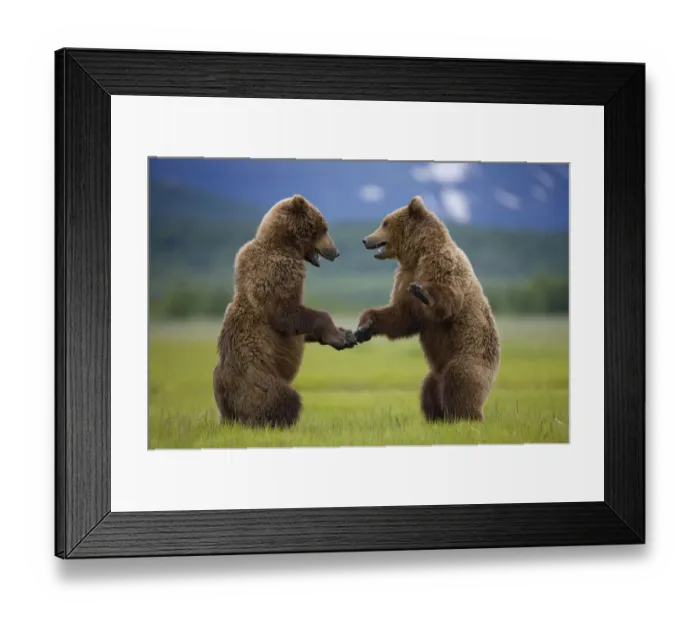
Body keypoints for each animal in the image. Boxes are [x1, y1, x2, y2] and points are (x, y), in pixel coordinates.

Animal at [214, 194, 357, 428]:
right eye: (323, 229)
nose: (336, 252)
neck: (284, 246)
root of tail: (230, 413)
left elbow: (299, 326)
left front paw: (344, 333)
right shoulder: (277, 273)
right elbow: (286, 314)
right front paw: (340, 336)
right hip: (258, 381)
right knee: (283, 398)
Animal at [356, 196, 500, 422]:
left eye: (385, 223)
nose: (365, 239)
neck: (418, 253)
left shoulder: (442, 264)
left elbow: (446, 301)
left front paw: (423, 293)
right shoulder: (405, 276)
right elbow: (402, 316)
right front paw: (364, 327)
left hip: (469, 357)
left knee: (460, 382)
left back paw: (466, 416)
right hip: (435, 373)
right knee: (428, 389)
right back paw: (436, 416)